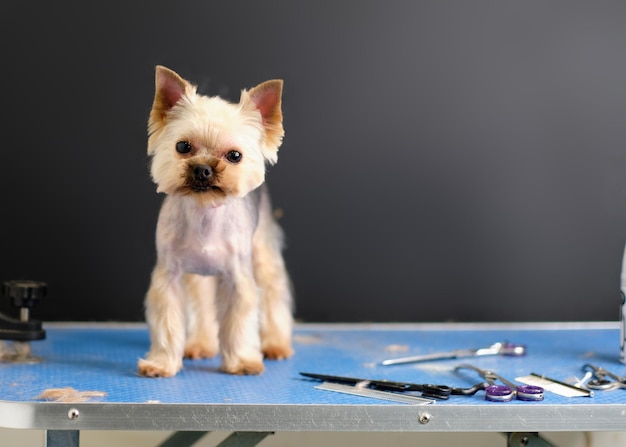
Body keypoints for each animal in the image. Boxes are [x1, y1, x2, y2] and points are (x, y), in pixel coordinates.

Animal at [136, 65, 292, 378]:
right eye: (183, 146)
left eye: (235, 155)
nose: (202, 169)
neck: (204, 213)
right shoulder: (169, 277)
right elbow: (168, 323)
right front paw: (161, 363)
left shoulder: (238, 278)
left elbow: (240, 321)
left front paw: (242, 361)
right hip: (197, 274)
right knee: (202, 304)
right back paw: (200, 344)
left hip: (263, 253)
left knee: (273, 293)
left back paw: (276, 345)